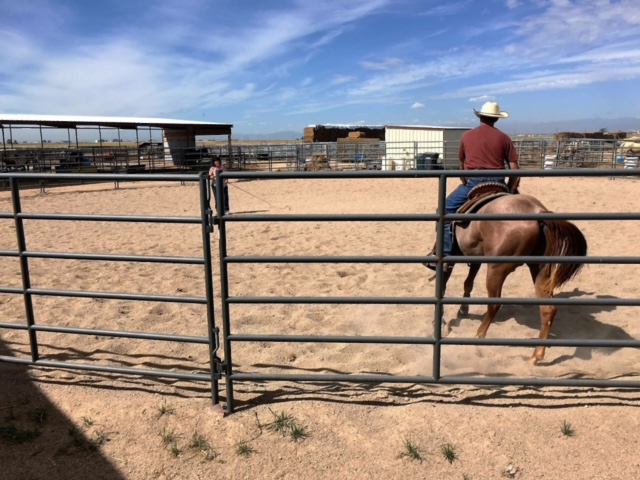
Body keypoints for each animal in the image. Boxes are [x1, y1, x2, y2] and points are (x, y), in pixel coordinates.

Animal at [442, 191, 588, 364]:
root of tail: (537, 211)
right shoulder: (475, 257)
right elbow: (468, 282)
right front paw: (463, 309)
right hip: (541, 271)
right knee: (548, 309)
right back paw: (536, 355)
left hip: (496, 270)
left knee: (494, 304)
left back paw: (479, 335)